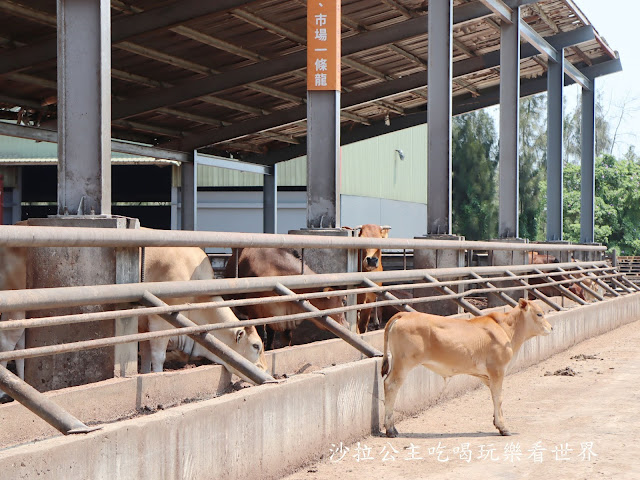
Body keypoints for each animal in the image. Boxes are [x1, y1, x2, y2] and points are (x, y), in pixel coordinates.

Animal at [382, 300, 552, 438]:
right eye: (539, 314)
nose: (551, 327)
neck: (507, 330)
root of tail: (404, 315)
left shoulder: (487, 376)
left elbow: (495, 397)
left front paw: (497, 423)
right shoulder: (497, 370)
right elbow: (499, 398)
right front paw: (504, 428)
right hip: (403, 364)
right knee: (390, 385)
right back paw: (390, 429)